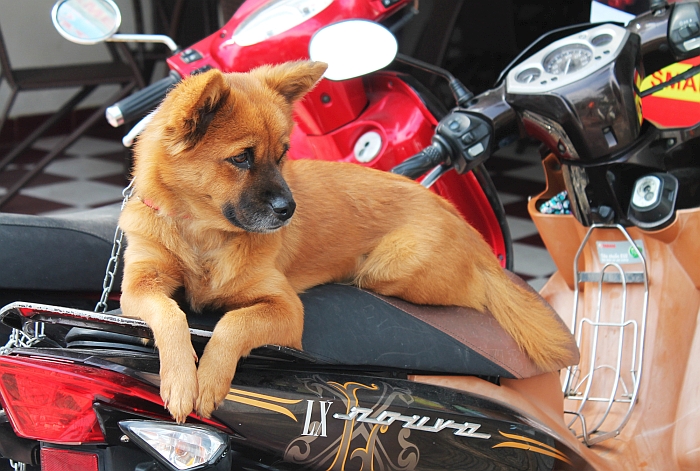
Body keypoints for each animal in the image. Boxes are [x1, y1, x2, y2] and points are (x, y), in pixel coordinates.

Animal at [117, 60, 572, 422]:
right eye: (241, 158)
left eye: (282, 154)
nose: (289, 210)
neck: (203, 235)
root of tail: (464, 226)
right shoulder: (138, 287)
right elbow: (170, 314)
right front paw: (181, 379)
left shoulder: (286, 309)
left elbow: (233, 323)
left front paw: (209, 378)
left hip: (387, 269)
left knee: (474, 295)